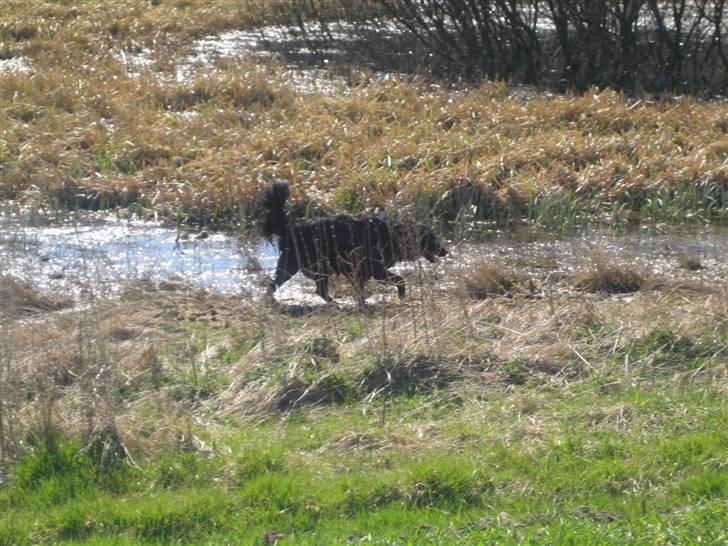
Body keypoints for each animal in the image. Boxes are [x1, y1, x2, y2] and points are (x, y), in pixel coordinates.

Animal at [262, 182, 444, 302]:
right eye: (433, 239)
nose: (446, 251)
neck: (393, 234)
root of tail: (290, 227)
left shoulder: (360, 271)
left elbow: (360, 288)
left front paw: (362, 301)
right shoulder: (376, 269)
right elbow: (400, 280)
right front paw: (401, 296)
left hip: (315, 267)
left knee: (318, 289)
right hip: (295, 265)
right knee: (275, 285)